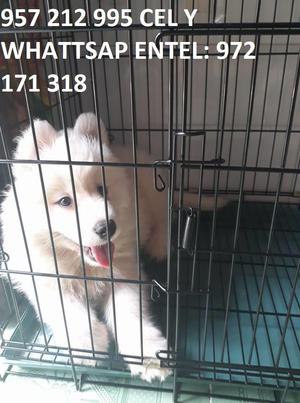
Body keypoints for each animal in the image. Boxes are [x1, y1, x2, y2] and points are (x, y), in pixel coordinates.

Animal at [0, 113, 225, 382]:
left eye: (102, 189)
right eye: (64, 201)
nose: (106, 227)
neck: (82, 265)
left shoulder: (125, 275)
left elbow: (130, 315)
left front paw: (149, 356)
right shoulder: (45, 278)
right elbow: (69, 312)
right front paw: (87, 346)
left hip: (154, 190)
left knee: (165, 218)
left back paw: (159, 244)